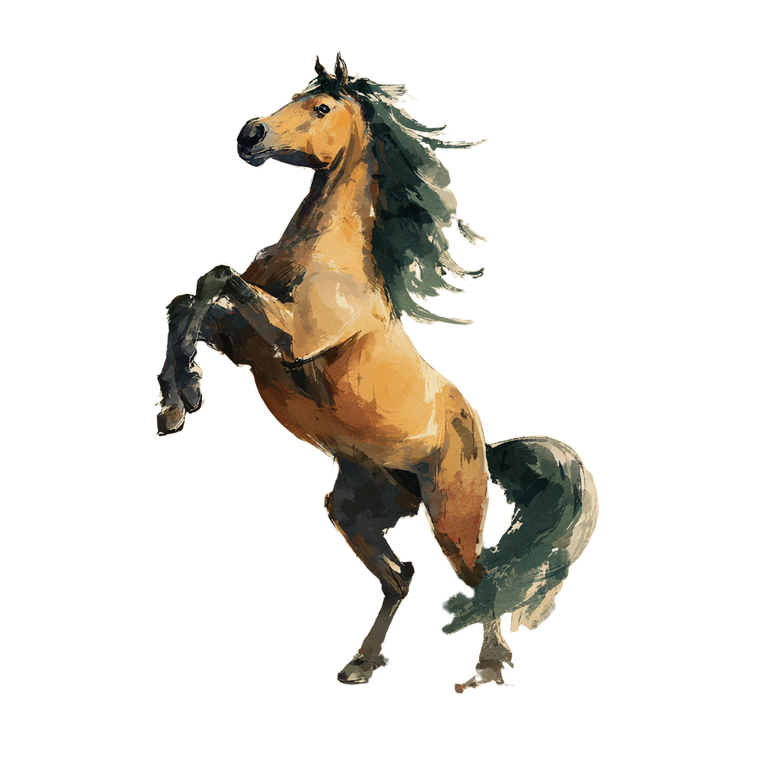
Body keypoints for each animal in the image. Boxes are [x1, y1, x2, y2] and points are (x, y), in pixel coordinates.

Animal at [153, 50, 601, 691]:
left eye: (320, 108)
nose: (249, 135)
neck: (324, 256)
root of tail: (485, 446)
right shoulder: (248, 341)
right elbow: (190, 302)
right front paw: (174, 404)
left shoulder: (292, 338)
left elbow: (216, 278)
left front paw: (182, 399)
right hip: (359, 504)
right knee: (400, 574)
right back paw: (360, 666)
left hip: (451, 514)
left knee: (483, 579)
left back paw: (486, 673)